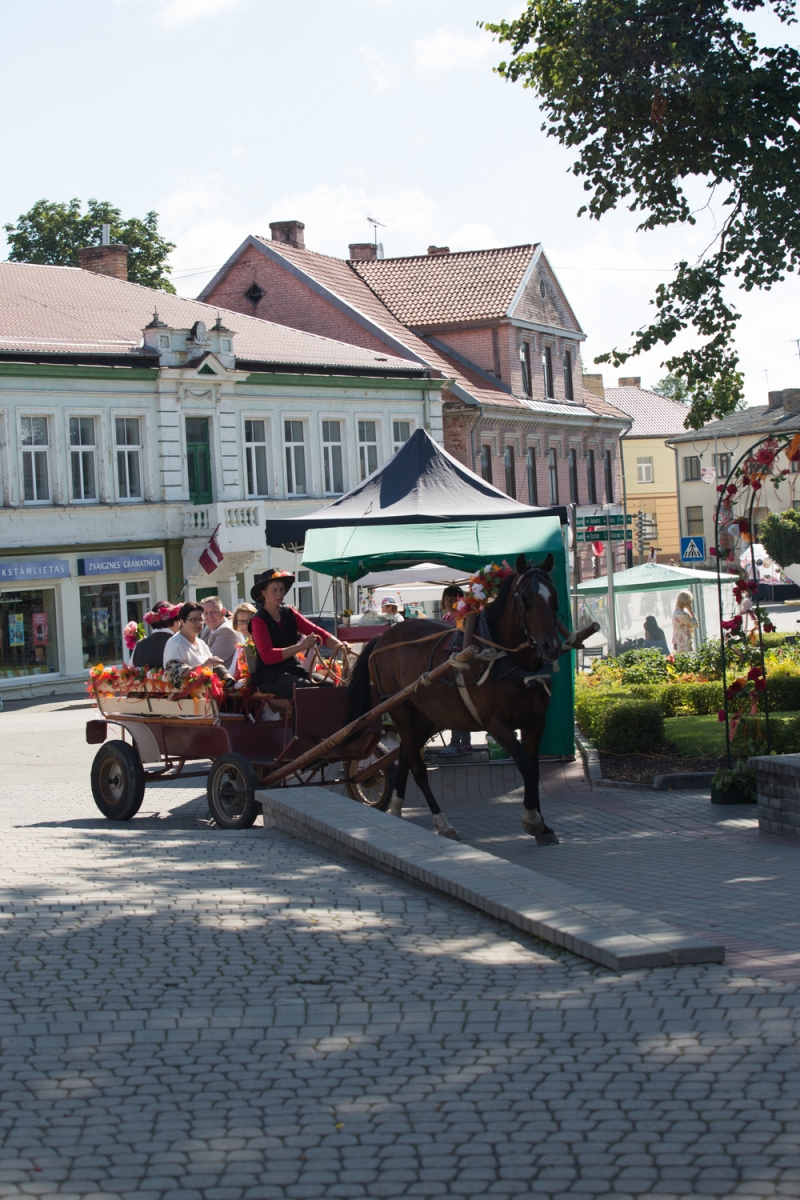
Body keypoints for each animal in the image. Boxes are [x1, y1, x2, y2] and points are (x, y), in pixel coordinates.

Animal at [345, 554, 563, 844]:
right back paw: (441, 821)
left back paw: (397, 808)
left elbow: (534, 768)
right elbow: (526, 764)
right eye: (525, 597)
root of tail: (382, 638)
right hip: (401, 709)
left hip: (427, 716)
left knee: (406, 756)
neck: (508, 660)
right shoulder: (495, 722)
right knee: (418, 768)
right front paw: (533, 821)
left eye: (554, 596)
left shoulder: (536, 720)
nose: (551, 646)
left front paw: (542, 824)